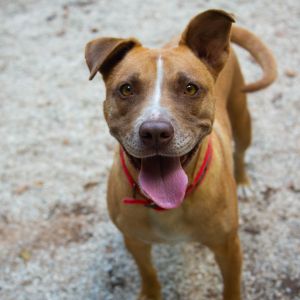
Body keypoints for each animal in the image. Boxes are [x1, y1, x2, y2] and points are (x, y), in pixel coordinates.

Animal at [84, 9, 276, 300]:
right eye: (126, 89)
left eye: (190, 88)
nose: (154, 132)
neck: (166, 205)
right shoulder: (135, 242)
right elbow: (148, 273)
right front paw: (150, 293)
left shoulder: (229, 249)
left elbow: (231, 287)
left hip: (242, 118)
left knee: (240, 152)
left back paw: (243, 181)